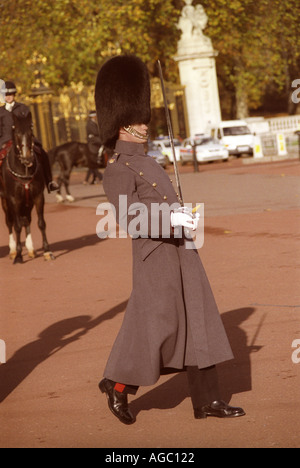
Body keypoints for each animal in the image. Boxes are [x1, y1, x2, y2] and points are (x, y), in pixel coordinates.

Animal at [0, 109, 54, 264]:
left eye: (31, 131)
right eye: (17, 132)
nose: (27, 158)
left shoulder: (37, 196)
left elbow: (41, 223)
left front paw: (47, 251)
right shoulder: (14, 199)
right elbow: (17, 225)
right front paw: (18, 255)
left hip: (27, 201)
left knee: (27, 219)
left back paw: (30, 249)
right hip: (5, 201)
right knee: (10, 222)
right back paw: (12, 250)